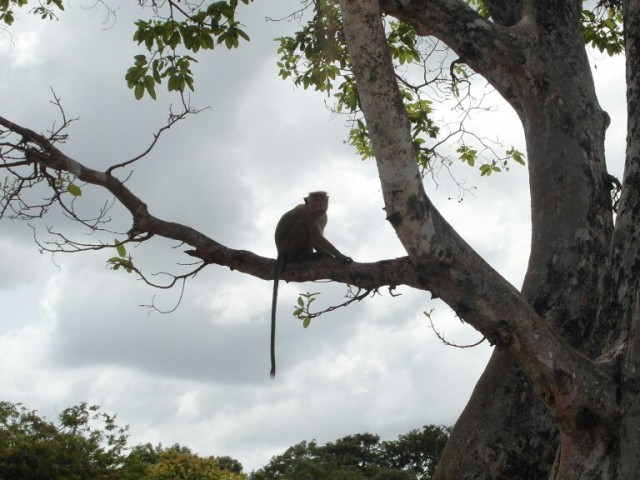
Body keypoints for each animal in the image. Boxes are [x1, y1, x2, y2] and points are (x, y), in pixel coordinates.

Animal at [270, 191, 352, 378]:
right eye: (315, 198)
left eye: (322, 198)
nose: (320, 203)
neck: (315, 213)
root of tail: (280, 253)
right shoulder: (306, 214)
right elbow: (315, 236)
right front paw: (340, 256)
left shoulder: (323, 217)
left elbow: (318, 237)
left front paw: (328, 254)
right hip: (290, 245)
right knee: (301, 226)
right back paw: (306, 256)